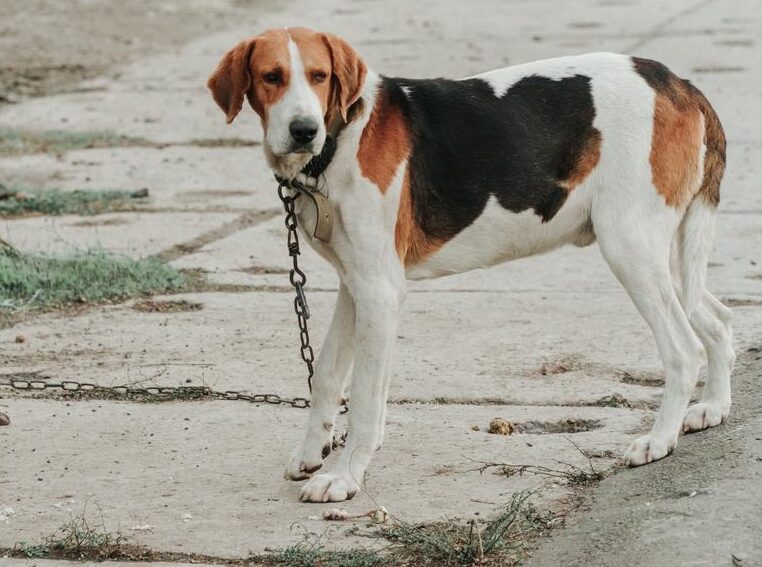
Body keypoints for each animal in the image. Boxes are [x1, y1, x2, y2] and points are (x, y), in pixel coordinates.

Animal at [208, 28, 732, 504]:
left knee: (683, 348)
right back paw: (712, 407)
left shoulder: (380, 292)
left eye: (320, 76)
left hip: (629, 246)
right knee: (718, 319)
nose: (304, 130)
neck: (340, 139)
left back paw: (659, 441)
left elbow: (364, 401)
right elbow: (327, 378)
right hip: (660, 258)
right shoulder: (353, 287)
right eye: (271, 77)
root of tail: (677, 82)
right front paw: (311, 452)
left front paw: (344, 476)